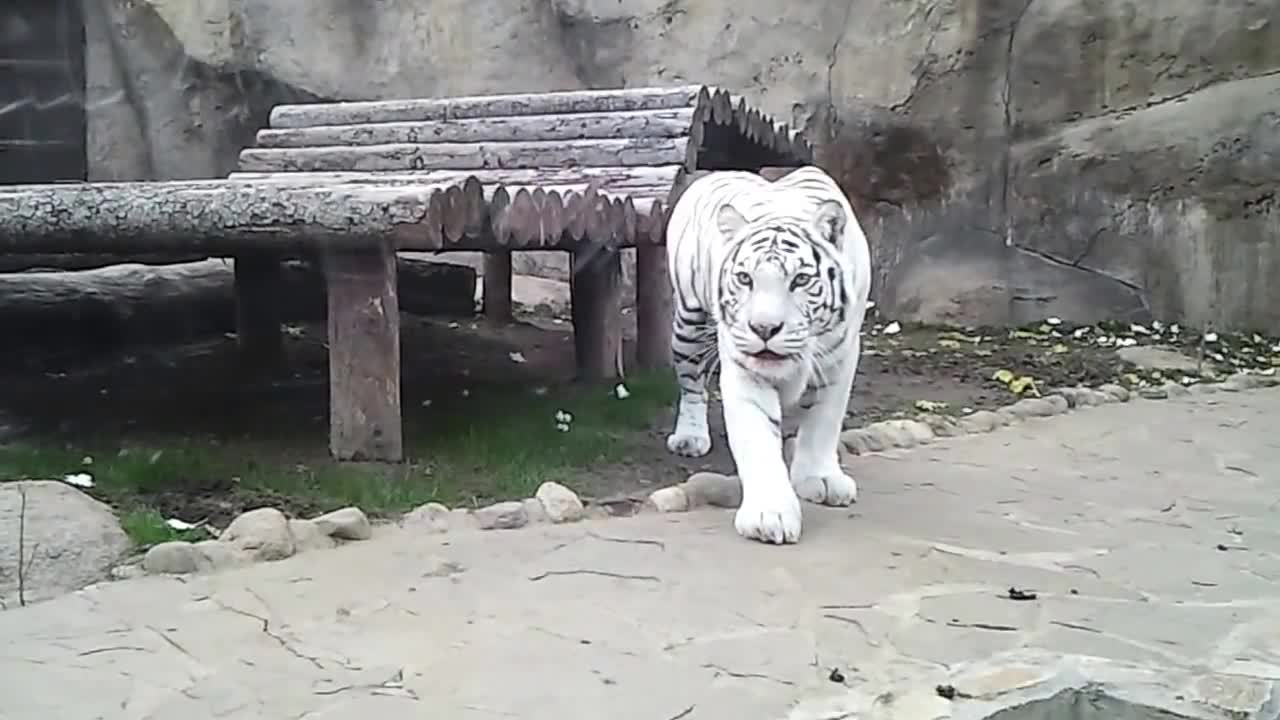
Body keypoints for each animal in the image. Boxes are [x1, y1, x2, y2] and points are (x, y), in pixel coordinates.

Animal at [665, 165, 875, 540]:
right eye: (745, 278)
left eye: (801, 280)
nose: (763, 329)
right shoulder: (744, 368)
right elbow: (758, 439)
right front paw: (769, 516)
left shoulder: (840, 358)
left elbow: (823, 421)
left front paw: (821, 478)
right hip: (688, 320)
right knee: (691, 382)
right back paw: (690, 437)